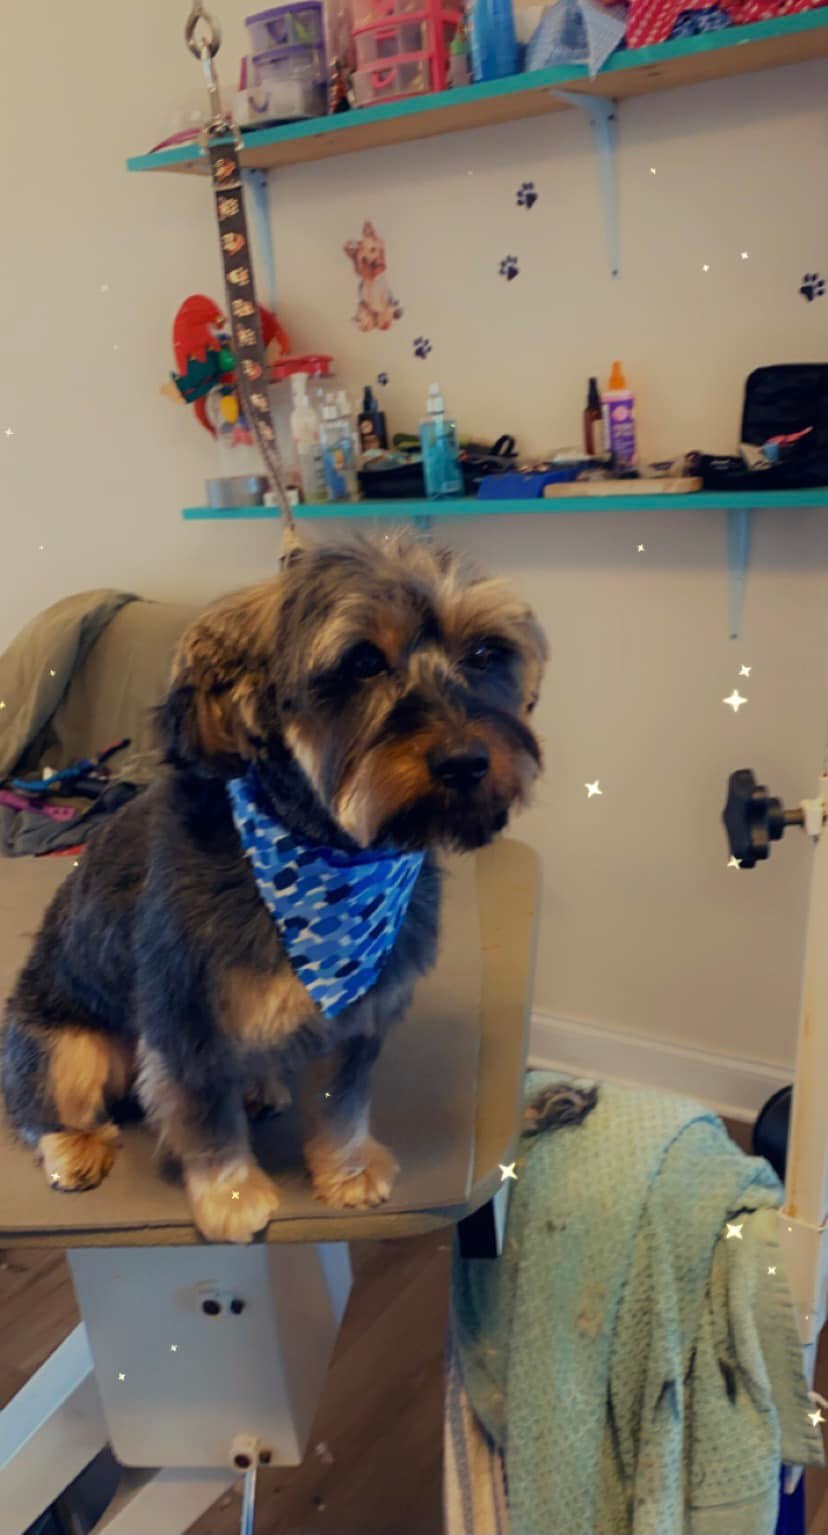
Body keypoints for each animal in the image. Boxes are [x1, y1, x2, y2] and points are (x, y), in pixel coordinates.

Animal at [1, 536, 546, 1243]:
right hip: (65, 1042)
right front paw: (231, 1196)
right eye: (362, 662)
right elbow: (208, 1121)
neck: (324, 852)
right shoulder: (187, 1020)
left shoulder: (357, 1016)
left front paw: (346, 1170)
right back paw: (75, 1146)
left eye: (484, 653)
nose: (466, 762)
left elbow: (343, 1106)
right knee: (42, 1103)